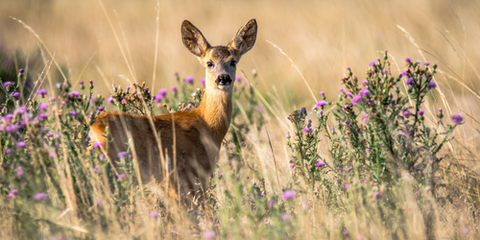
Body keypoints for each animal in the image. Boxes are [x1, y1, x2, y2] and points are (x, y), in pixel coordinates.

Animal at [88, 19, 256, 204]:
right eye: (209, 63)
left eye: (233, 61)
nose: (223, 78)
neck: (206, 125)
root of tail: (94, 128)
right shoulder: (191, 174)